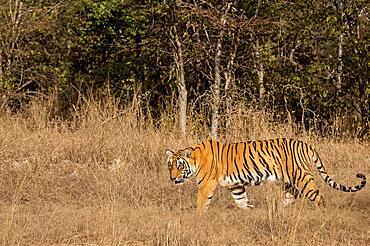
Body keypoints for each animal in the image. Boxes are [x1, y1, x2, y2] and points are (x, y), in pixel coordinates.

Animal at [165, 138, 368, 213]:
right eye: (170, 165)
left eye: (179, 165)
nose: (173, 178)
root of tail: (305, 144)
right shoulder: (236, 185)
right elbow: (241, 200)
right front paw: (250, 211)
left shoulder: (206, 184)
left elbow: (201, 203)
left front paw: (197, 217)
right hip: (288, 180)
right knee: (293, 194)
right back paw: (279, 208)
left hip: (300, 176)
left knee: (317, 196)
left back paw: (321, 213)